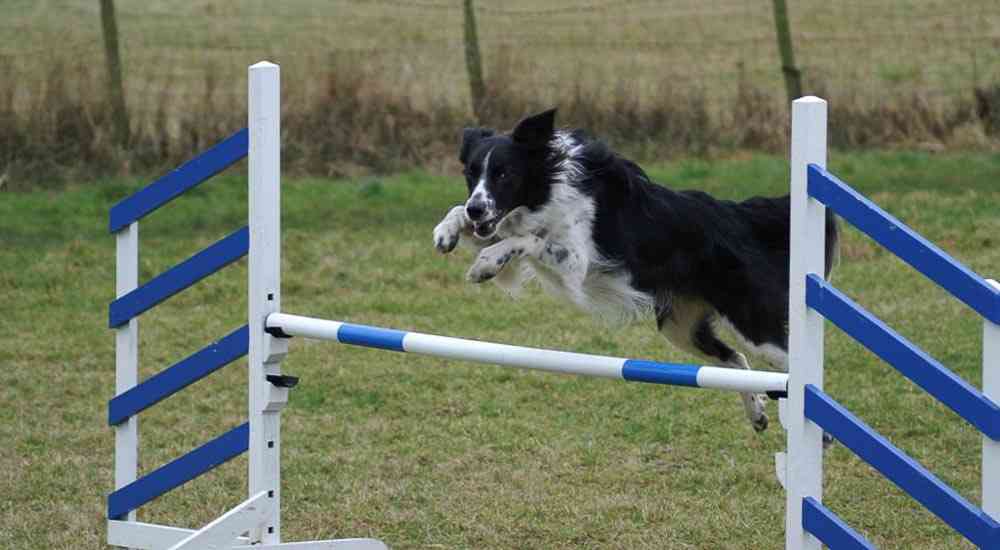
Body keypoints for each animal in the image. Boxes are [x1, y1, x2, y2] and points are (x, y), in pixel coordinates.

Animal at [430, 110, 836, 434]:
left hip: (752, 322)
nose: (478, 208)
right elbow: (471, 219)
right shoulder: (502, 224)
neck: (546, 185)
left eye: (504, 174)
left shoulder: (574, 260)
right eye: (471, 173)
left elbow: (527, 240)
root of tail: (735, 216)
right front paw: (446, 232)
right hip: (680, 328)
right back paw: (757, 413)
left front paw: (485, 264)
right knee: (736, 359)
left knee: (792, 368)